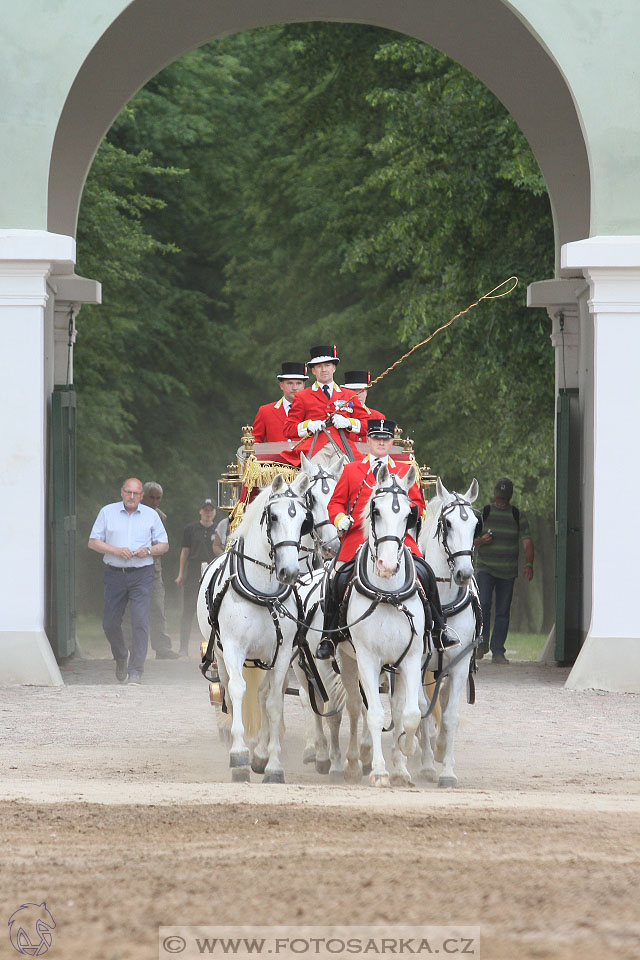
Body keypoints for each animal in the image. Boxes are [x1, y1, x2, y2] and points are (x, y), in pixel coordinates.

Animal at [198, 470, 312, 780]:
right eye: (273, 516)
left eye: (303, 520)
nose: (290, 572)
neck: (264, 593)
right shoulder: (234, 648)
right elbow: (237, 691)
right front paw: (238, 756)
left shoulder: (282, 654)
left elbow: (273, 702)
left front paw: (271, 763)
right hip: (221, 655)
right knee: (228, 688)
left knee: (263, 695)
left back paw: (259, 753)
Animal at [340, 464, 424, 788]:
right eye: (375, 510)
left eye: (408, 515)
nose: (387, 566)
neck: (387, 594)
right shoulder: (367, 658)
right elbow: (374, 714)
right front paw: (378, 770)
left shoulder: (411, 659)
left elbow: (410, 715)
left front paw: (406, 753)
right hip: (348, 661)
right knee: (355, 708)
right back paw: (354, 761)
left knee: (397, 710)